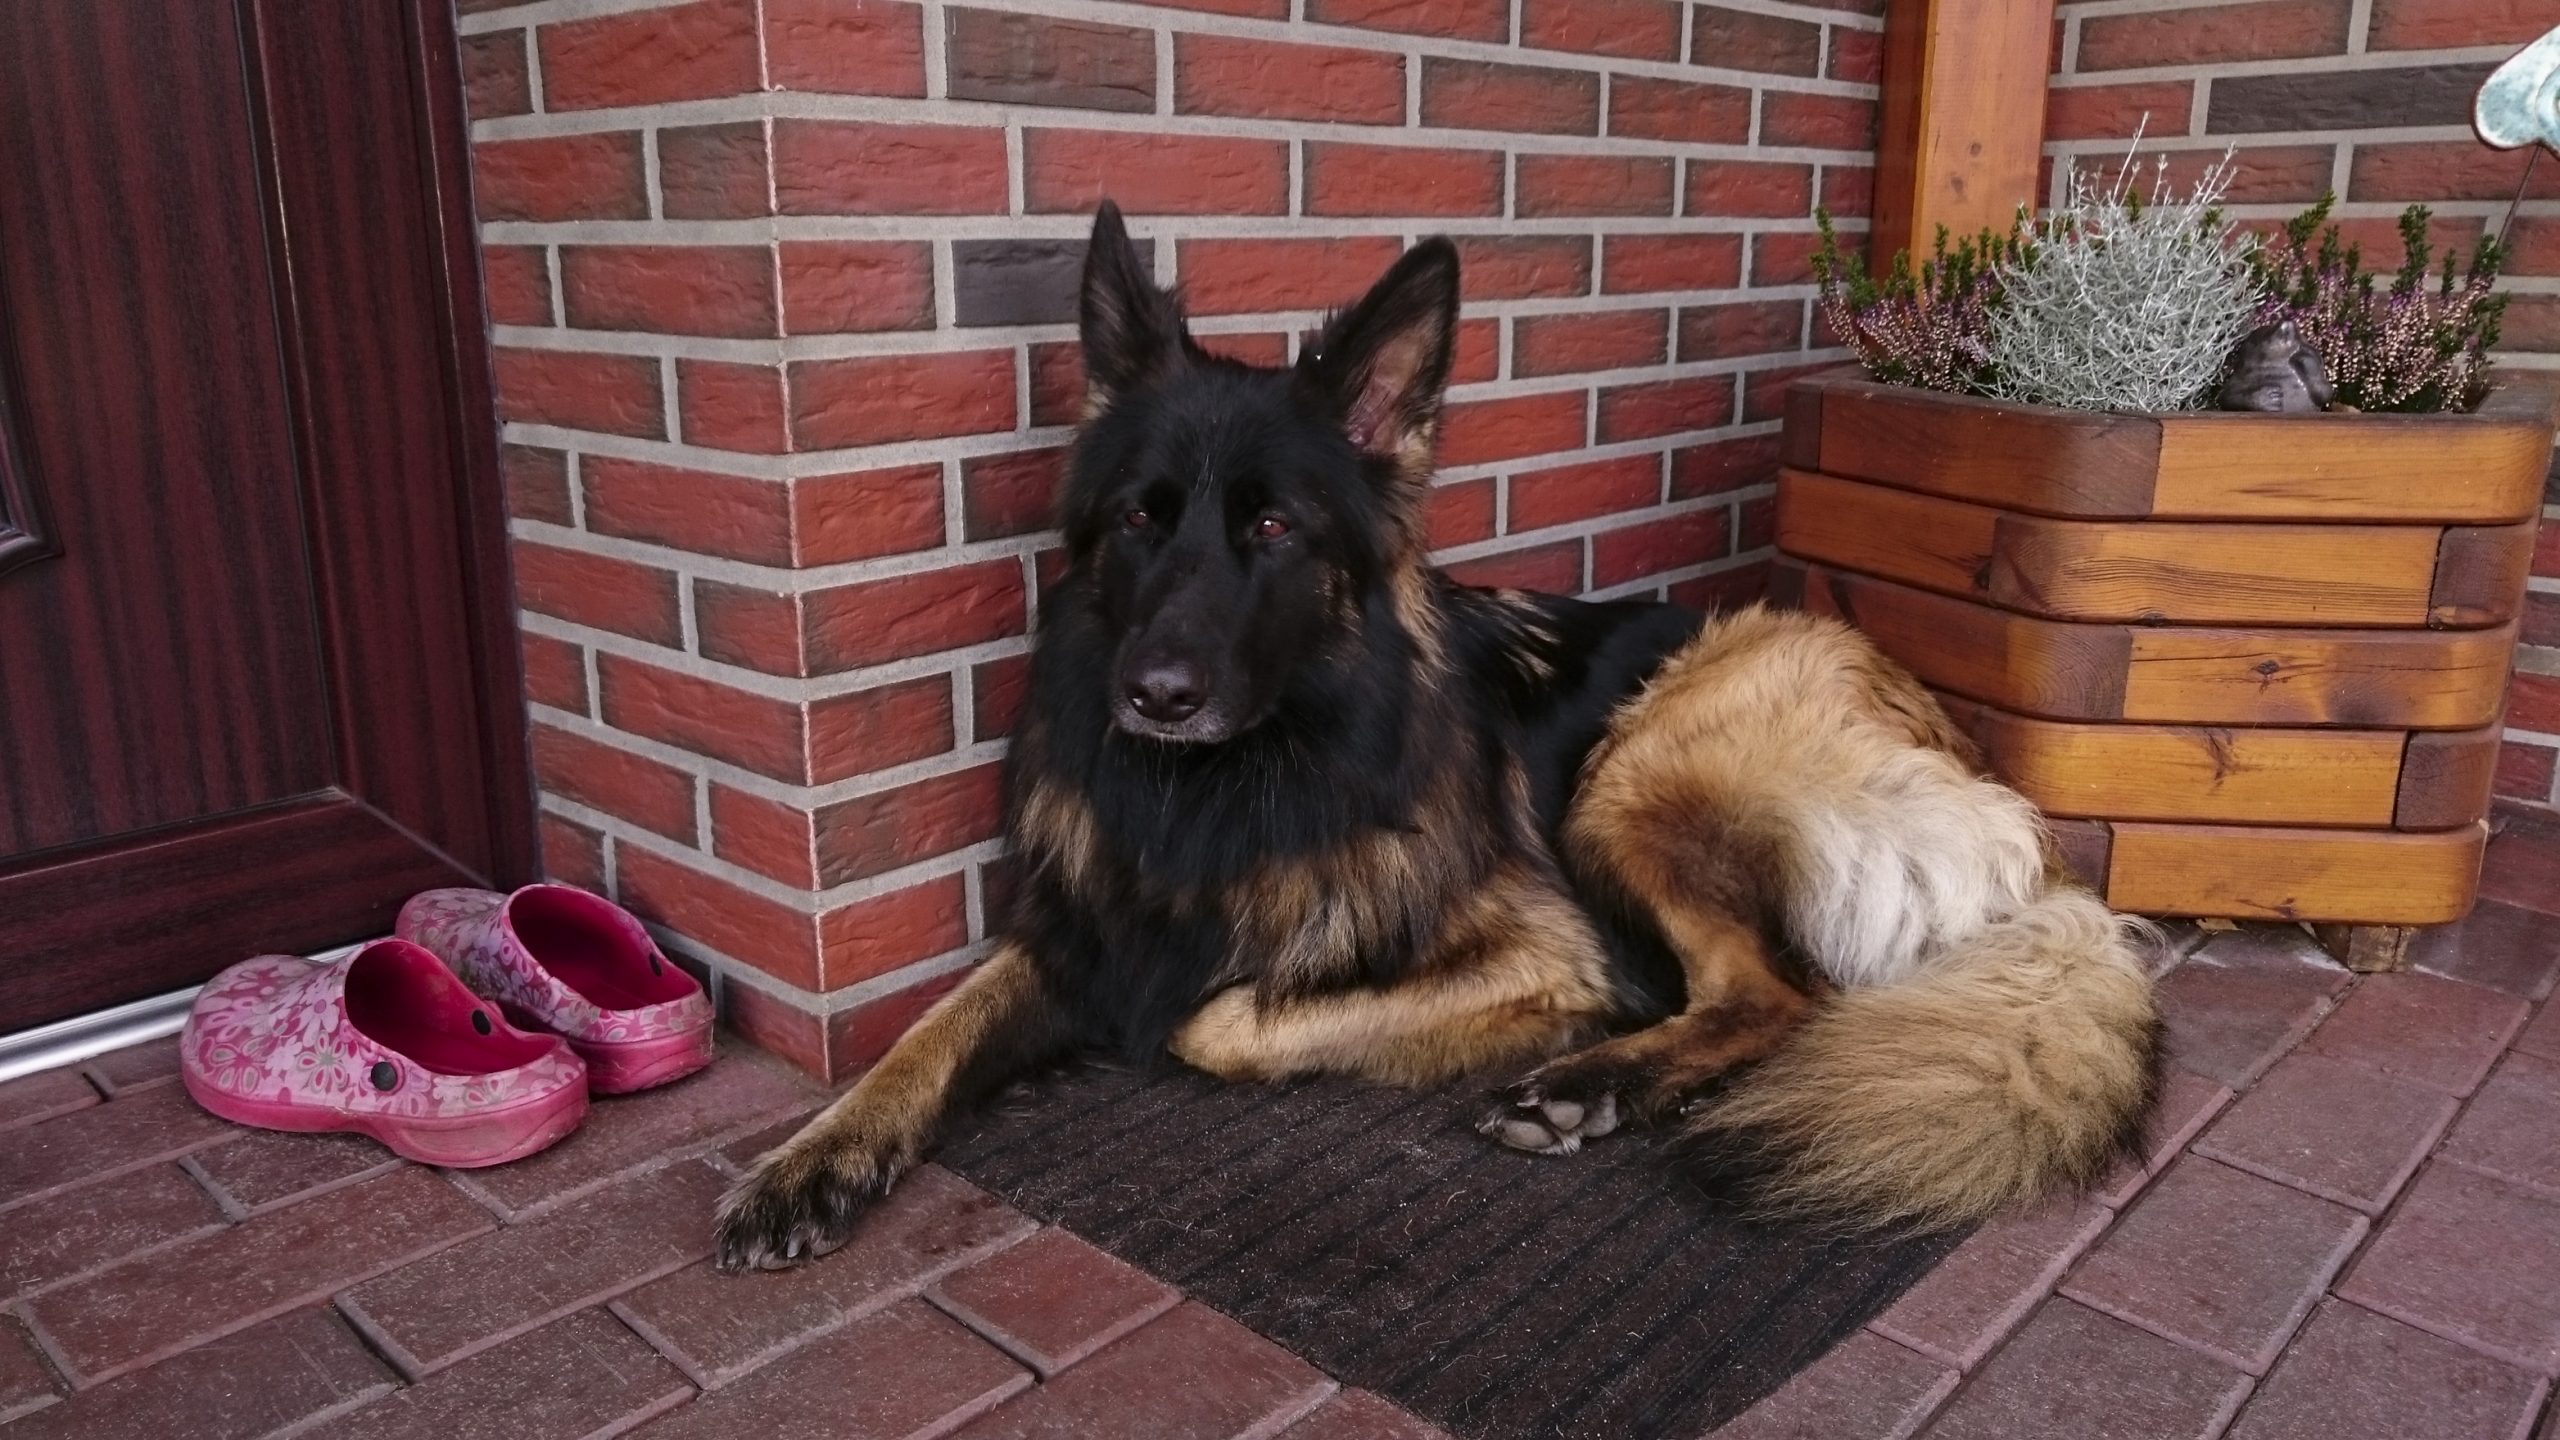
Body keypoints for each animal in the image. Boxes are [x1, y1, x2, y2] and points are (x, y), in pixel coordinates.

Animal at [711, 204, 2162, 1271]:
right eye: (1136, 519)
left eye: (1273, 527)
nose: (1153, 694)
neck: (1241, 778)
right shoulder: (1084, 924)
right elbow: (925, 1038)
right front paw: (811, 1156)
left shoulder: (1536, 952)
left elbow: (1220, 1020)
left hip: (1637, 773)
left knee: (1778, 992)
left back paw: (1595, 1085)